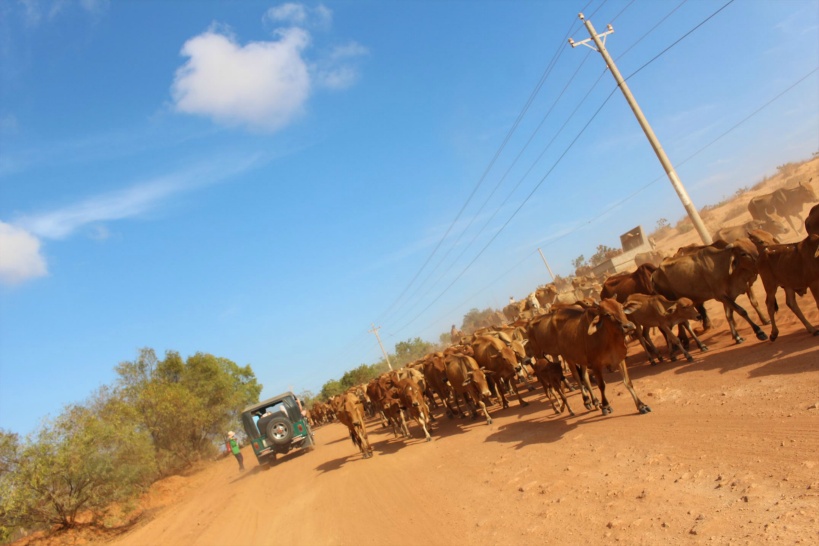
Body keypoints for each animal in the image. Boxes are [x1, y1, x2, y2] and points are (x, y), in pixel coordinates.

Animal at [524, 298, 652, 412]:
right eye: (607, 314)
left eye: (621, 307)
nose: (629, 326)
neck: (608, 338)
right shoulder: (595, 364)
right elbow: (601, 385)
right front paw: (606, 406)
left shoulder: (619, 359)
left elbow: (628, 382)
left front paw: (641, 405)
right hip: (565, 357)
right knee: (577, 377)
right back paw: (586, 400)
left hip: (580, 358)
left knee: (584, 376)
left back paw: (594, 401)